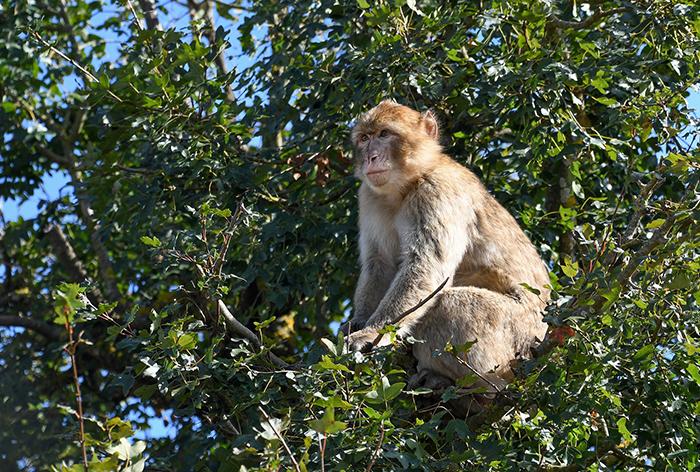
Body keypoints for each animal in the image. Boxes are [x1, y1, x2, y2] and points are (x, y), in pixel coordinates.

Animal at [343, 99, 550, 392]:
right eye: (364, 138)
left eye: (384, 134)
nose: (370, 156)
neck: (406, 186)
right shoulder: (369, 197)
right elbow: (379, 265)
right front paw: (358, 324)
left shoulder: (437, 192)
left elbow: (425, 267)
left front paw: (371, 333)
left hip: (520, 336)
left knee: (448, 304)